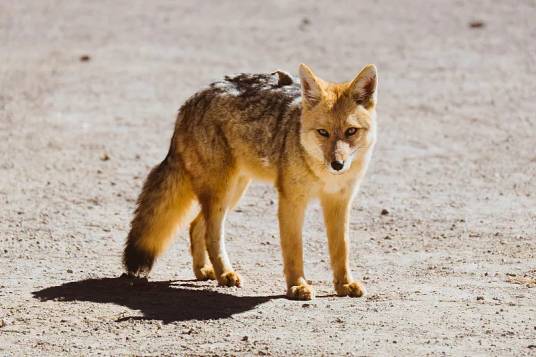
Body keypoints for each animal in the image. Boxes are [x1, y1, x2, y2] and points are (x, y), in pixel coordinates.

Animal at [123, 62, 378, 298]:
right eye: (323, 133)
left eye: (351, 132)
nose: (337, 165)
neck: (324, 176)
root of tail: (192, 100)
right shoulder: (291, 201)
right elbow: (294, 249)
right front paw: (297, 285)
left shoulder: (339, 202)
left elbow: (341, 248)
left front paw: (344, 284)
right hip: (222, 193)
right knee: (210, 234)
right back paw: (225, 273)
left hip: (233, 192)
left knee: (196, 226)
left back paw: (204, 270)